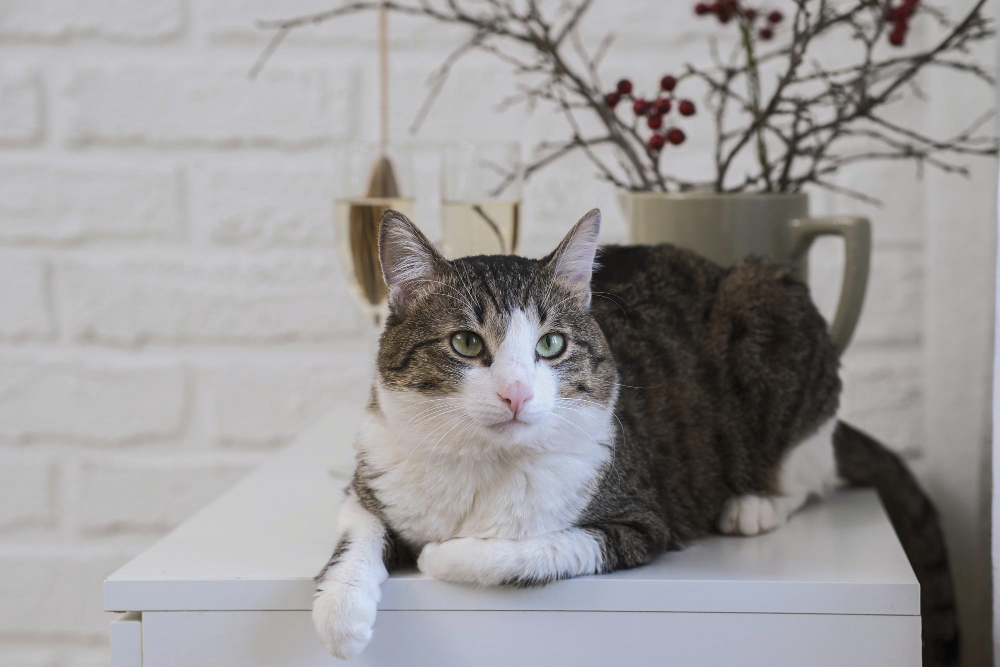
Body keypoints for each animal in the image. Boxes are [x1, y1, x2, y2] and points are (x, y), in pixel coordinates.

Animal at [314, 211, 960, 664]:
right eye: (466, 343)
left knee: (809, 470)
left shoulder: (642, 520)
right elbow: (357, 532)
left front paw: (442, 554)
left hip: (773, 309)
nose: (517, 393)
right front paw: (340, 613)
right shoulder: (374, 472)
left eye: (552, 344)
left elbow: (533, 549)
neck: (482, 463)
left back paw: (753, 504)